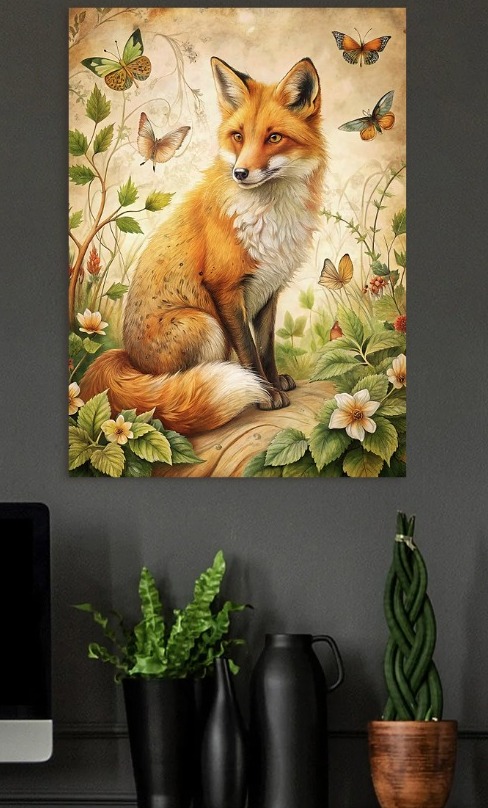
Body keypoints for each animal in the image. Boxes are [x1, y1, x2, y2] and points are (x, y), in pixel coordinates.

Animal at [80, 56, 327, 435]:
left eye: (274, 138)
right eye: (238, 136)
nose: (240, 173)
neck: (269, 217)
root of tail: (128, 358)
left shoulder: (270, 288)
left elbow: (266, 347)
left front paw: (274, 382)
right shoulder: (224, 288)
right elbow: (249, 349)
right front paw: (265, 393)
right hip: (207, 326)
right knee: (178, 384)